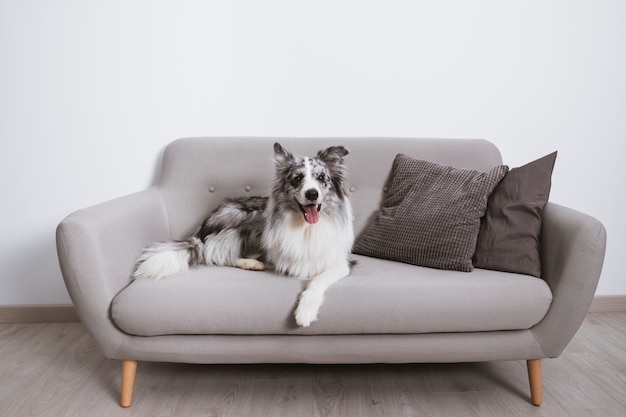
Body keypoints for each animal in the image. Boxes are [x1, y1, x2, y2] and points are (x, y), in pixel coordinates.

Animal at [132, 141, 354, 326]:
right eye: (297, 178)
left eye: (321, 177)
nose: (312, 194)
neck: (307, 227)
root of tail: (202, 229)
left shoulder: (340, 263)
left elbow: (318, 280)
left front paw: (305, 312)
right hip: (247, 220)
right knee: (217, 255)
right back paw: (252, 263)